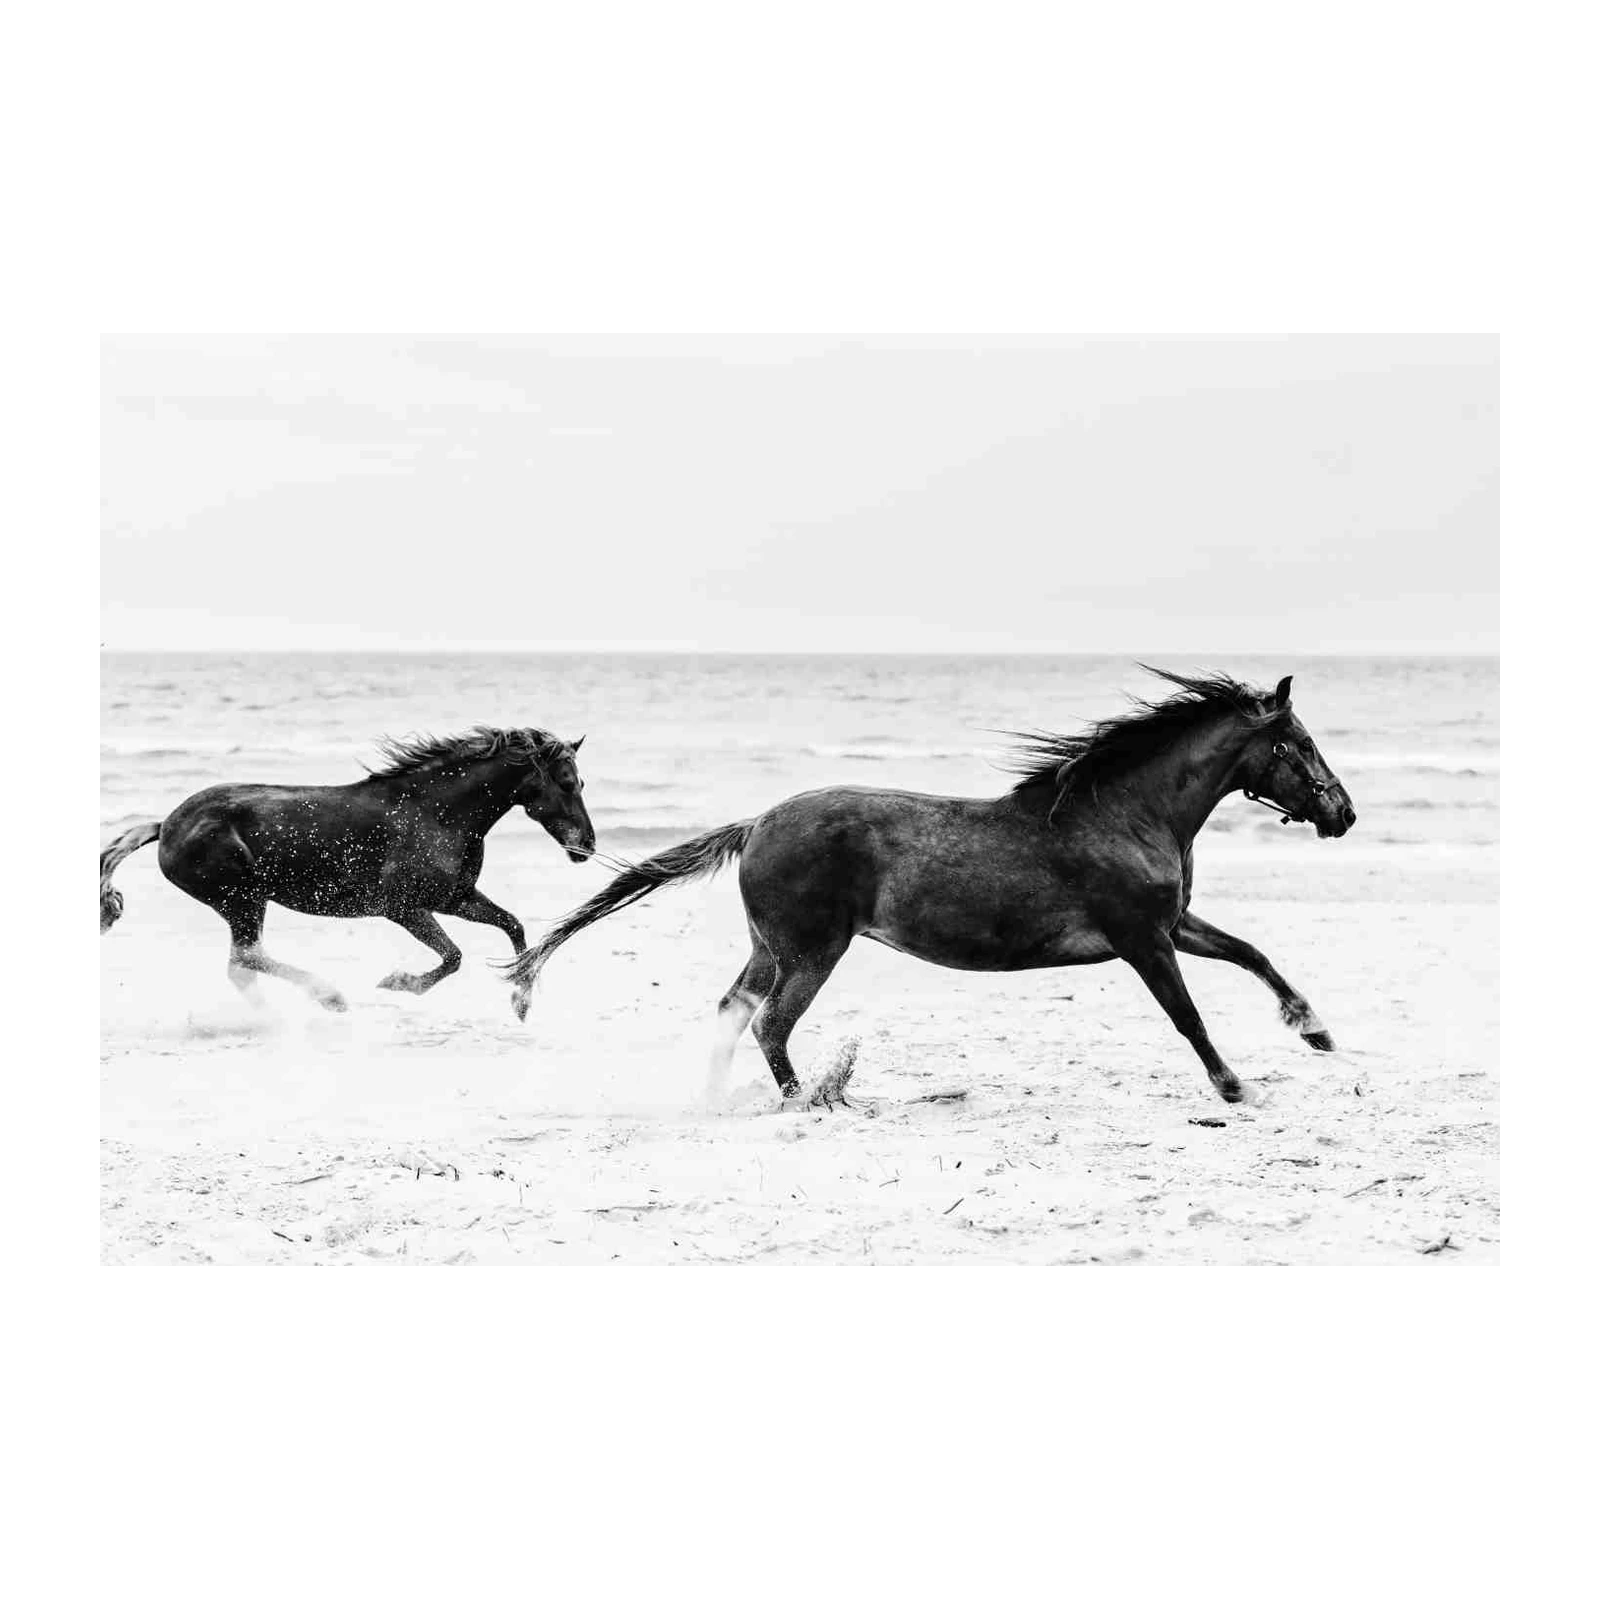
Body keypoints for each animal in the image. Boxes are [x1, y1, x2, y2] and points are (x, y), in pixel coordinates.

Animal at [96, 725, 595, 1020]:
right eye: (567, 782)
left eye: (581, 782)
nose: (588, 846)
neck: (435, 813)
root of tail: (166, 826)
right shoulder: (403, 907)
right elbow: (453, 956)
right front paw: (399, 983)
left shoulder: (454, 897)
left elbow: (514, 926)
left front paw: (521, 1000)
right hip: (242, 898)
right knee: (246, 958)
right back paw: (327, 998)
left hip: (243, 902)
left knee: (242, 966)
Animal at [503, 670, 1356, 1106]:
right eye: (1301, 743)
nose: (1344, 813)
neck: (1123, 813)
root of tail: (758, 822)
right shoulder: (1142, 939)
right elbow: (1188, 1015)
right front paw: (1234, 1086)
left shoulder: (1173, 925)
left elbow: (1254, 954)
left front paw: (1315, 1031)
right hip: (813, 952)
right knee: (772, 1024)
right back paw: (807, 1102)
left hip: (769, 948)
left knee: (732, 1011)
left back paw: (718, 1099)